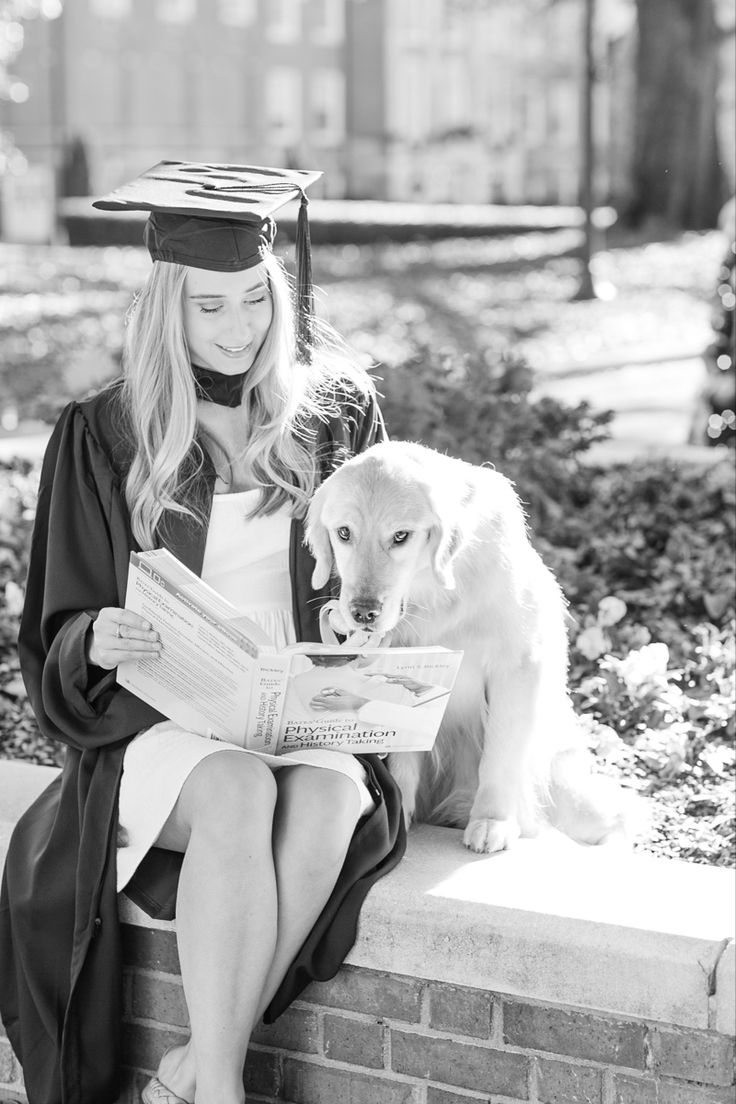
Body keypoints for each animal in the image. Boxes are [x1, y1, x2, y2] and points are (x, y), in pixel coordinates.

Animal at [304, 439, 635, 852]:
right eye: (344, 533)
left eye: (401, 536)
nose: (363, 612)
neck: (436, 593)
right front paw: (401, 816)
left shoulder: (517, 665)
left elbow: (500, 754)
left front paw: (493, 820)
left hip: (573, 792)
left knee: (617, 816)